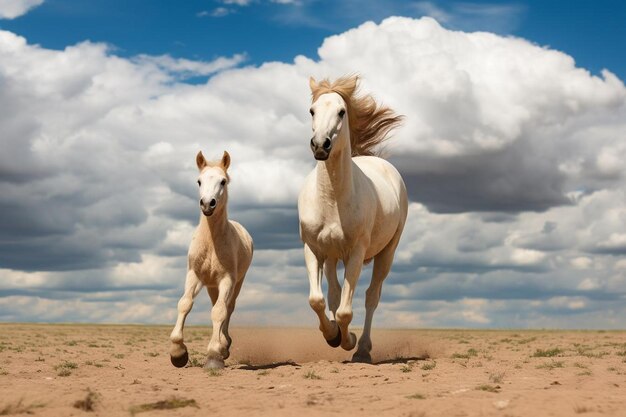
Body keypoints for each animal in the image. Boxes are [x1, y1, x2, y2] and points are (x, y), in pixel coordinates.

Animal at [169, 150, 252, 368]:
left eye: (223, 181)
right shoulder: (194, 275)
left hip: (237, 282)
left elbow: (220, 311)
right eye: (199, 181)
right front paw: (178, 353)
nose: (207, 204)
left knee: (228, 308)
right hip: (211, 286)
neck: (211, 244)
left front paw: (215, 354)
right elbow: (185, 303)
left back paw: (224, 345)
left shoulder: (227, 279)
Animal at [298, 76, 410, 362]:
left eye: (341, 111)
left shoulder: (356, 253)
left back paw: (363, 349)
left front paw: (348, 340)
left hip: (387, 253)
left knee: (372, 297)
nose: (320, 145)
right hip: (331, 256)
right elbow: (318, 300)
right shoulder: (313, 249)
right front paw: (332, 335)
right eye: (312, 110)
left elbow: (346, 310)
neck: (332, 200)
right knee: (334, 294)